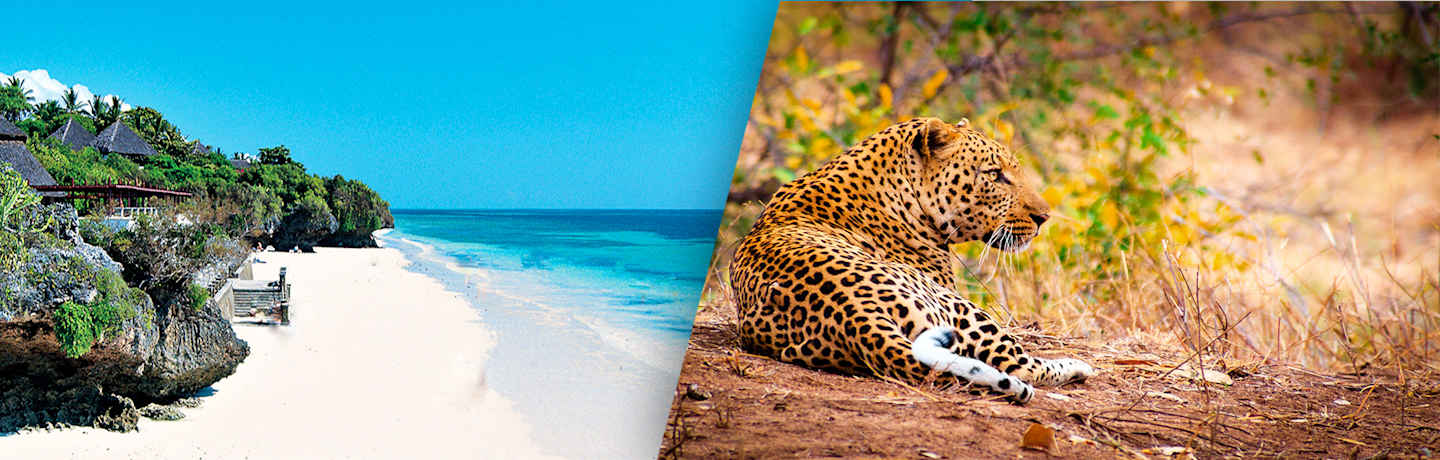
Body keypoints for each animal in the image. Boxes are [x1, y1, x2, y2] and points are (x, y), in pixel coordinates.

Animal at [730, 117, 1094, 404]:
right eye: (994, 174)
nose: (1043, 217)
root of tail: (857, 318)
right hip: (963, 309)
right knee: (1022, 367)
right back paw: (1077, 366)